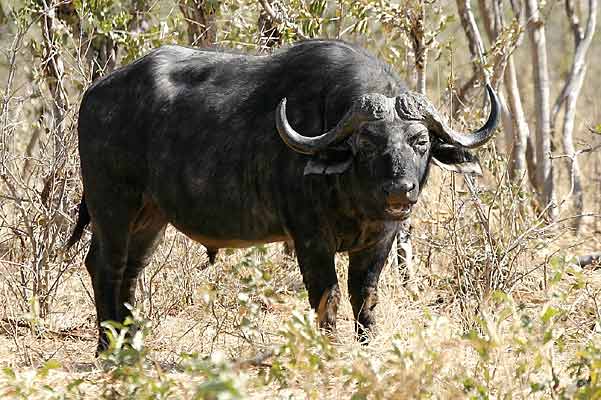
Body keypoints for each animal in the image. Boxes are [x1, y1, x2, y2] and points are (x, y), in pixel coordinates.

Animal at [67, 38, 496, 350]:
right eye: (366, 142)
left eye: (420, 141)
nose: (399, 190)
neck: (354, 196)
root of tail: (95, 94)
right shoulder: (310, 239)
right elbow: (328, 298)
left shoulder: (381, 240)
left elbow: (365, 297)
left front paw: (367, 346)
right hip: (112, 206)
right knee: (105, 265)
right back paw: (107, 348)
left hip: (150, 217)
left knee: (130, 272)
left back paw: (130, 343)